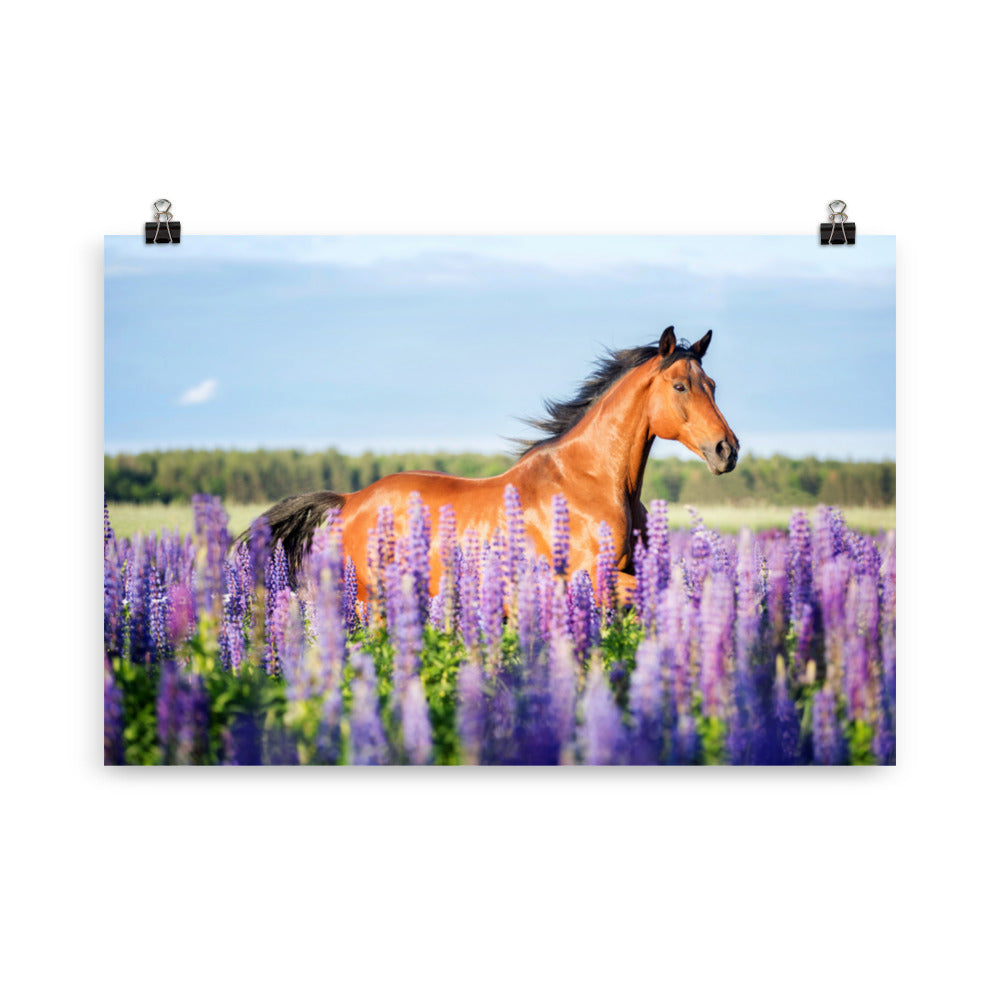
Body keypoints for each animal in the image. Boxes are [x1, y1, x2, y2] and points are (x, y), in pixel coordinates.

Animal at [259, 326, 739, 601]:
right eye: (679, 386)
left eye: (713, 384)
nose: (727, 450)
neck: (594, 482)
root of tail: (350, 499)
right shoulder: (593, 578)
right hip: (369, 599)